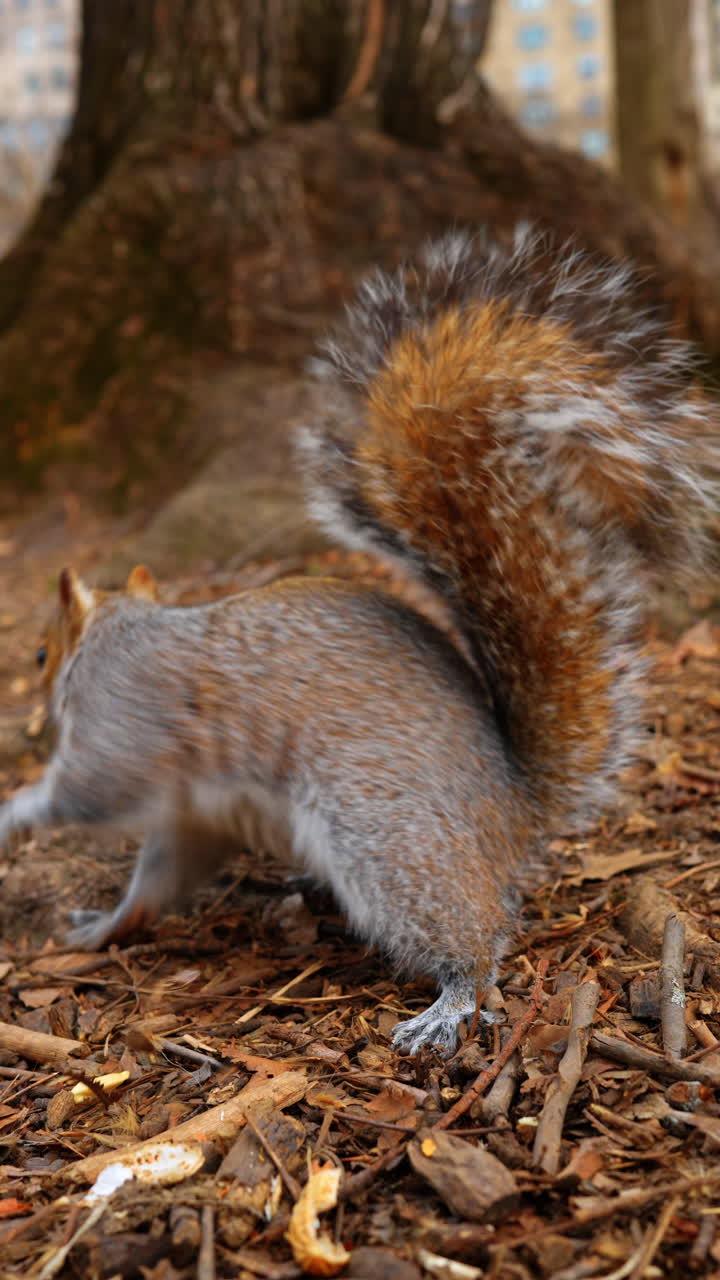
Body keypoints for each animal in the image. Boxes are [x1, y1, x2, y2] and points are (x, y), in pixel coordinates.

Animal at [1, 226, 718, 1054]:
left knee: (474, 937)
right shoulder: (192, 811)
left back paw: (447, 1003)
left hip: (384, 837)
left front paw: (12, 811)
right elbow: (159, 879)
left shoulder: (121, 717)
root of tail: (515, 807)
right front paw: (103, 925)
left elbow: (83, 790)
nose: (34, 702)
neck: (120, 632)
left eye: (41, 655)